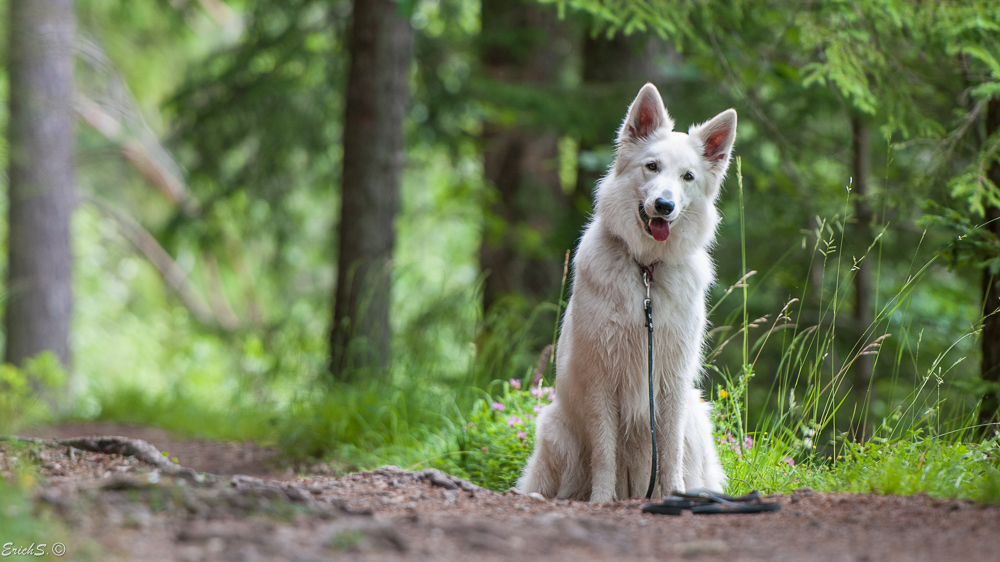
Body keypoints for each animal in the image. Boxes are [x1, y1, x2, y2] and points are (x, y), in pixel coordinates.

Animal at [516, 82, 736, 498]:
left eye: (688, 177)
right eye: (651, 166)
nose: (664, 205)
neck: (645, 270)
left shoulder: (672, 380)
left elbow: (669, 453)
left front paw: (674, 496)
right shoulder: (601, 380)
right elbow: (604, 454)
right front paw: (602, 500)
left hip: (696, 418)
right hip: (557, 429)